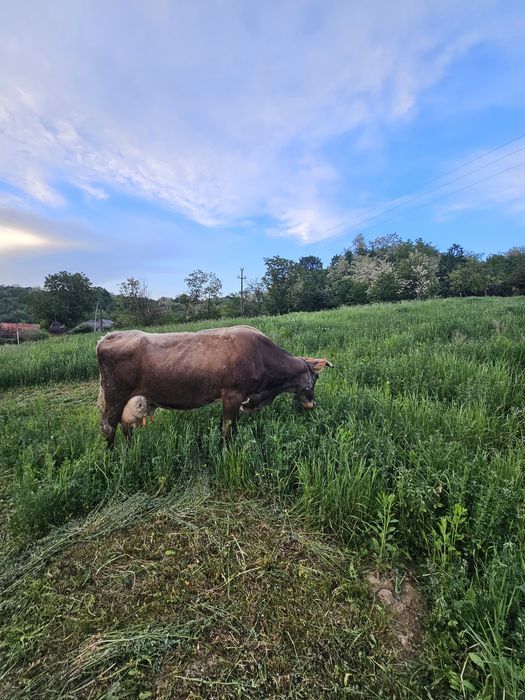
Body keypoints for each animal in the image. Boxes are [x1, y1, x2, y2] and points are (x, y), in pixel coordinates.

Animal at [96, 325, 333, 447]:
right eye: (315, 378)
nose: (311, 404)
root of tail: (110, 335)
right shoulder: (233, 394)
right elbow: (228, 428)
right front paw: (228, 452)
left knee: (126, 425)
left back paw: (130, 449)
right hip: (115, 395)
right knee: (108, 426)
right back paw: (114, 458)